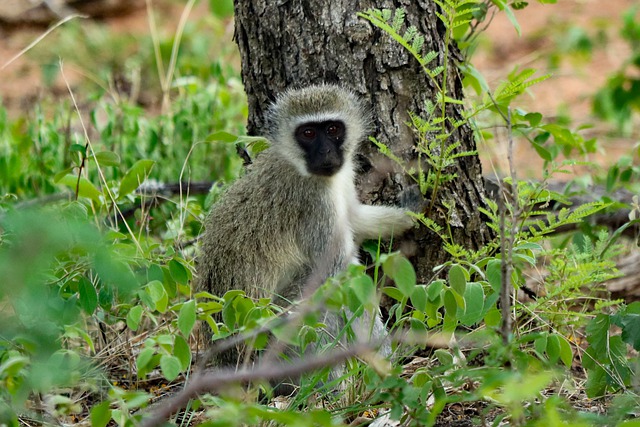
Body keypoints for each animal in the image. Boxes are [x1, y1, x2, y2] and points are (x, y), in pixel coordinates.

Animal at [196, 83, 416, 372]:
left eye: (332, 129)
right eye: (308, 133)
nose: (325, 153)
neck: (299, 166)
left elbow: (355, 218)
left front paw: (410, 211)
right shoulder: (315, 204)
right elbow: (341, 276)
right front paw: (385, 354)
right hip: (271, 342)